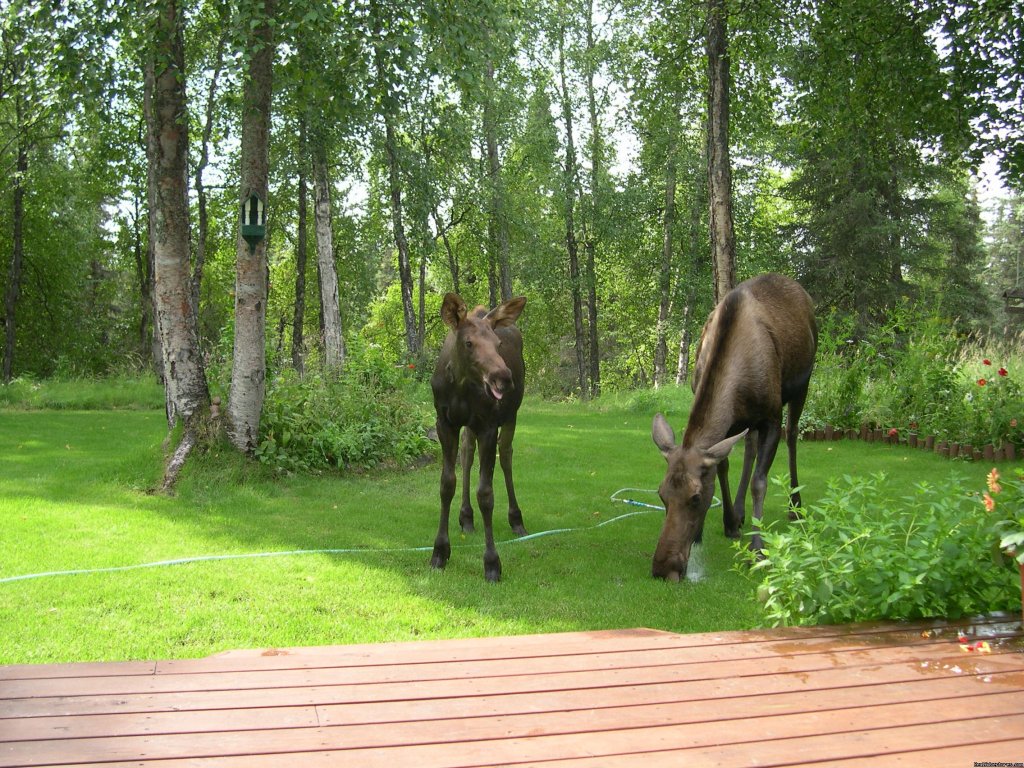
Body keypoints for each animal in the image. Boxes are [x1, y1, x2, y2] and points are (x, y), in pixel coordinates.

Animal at [430, 294, 528, 581]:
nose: (503, 377)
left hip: (510, 415)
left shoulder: (488, 425)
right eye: (469, 342)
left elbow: (485, 493)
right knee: (467, 454)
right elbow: (447, 483)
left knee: (506, 455)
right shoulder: (445, 423)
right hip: (468, 427)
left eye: (498, 344)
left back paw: (516, 518)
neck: (461, 387)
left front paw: (492, 563)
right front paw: (440, 551)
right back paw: (466, 517)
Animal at [651, 274, 819, 581]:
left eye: (695, 497)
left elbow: (760, 482)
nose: (662, 568)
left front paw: (758, 548)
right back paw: (740, 512)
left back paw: (795, 505)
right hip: (748, 421)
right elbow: (723, 467)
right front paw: (726, 523)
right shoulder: (731, 425)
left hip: (803, 382)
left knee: (792, 435)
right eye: (661, 494)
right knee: (750, 446)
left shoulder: (771, 417)